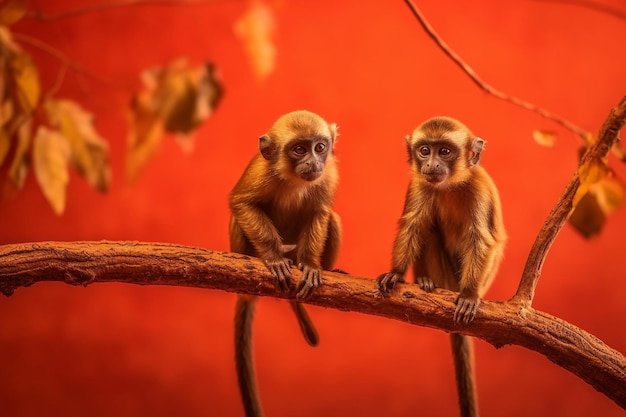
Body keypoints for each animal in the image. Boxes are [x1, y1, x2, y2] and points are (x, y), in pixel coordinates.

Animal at [228, 109, 338, 416]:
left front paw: (310, 266)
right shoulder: (262, 172)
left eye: (320, 147)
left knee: (333, 219)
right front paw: (274, 258)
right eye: (299, 149)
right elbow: (242, 203)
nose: (313, 162)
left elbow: (320, 212)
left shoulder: (328, 174)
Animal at [376, 115, 502, 416]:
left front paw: (469, 294)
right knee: (428, 228)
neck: (450, 186)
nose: (431, 164)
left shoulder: (479, 187)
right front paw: (396, 274)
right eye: (425, 151)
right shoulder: (419, 183)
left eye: (444, 151)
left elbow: (481, 239)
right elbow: (414, 224)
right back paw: (426, 281)